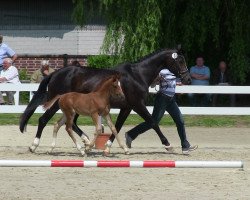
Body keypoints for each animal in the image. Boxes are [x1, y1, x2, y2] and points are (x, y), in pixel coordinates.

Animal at [19, 49, 191, 152]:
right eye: (180, 61)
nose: (187, 79)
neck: (137, 75)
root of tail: (56, 73)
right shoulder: (137, 105)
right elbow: (153, 122)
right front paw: (168, 145)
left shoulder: (127, 107)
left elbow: (117, 126)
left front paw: (108, 146)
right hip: (56, 104)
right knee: (43, 120)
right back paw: (34, 145)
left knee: (72, 123)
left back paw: (86, 141)